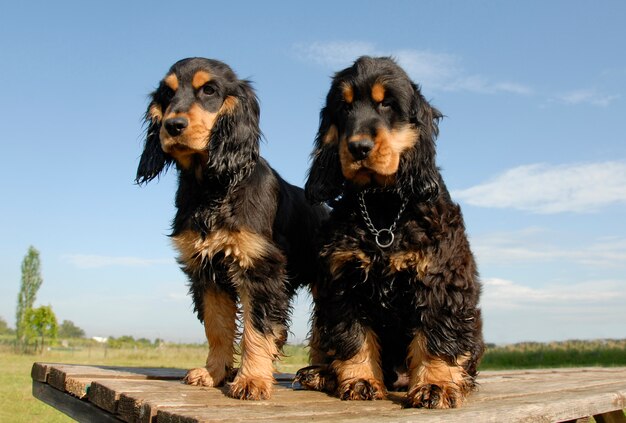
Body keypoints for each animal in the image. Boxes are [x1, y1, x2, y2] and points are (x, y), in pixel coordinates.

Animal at [134, 57, 324, 400]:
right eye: (167, 94)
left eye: (209, 90)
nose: (172, 126)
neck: (212, 187)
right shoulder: (206, 270)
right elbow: (218, 327)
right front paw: (214, 373)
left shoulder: (259, 266)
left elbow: (255, 328)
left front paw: (252, 380)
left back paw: (318, 374)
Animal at [294, 58, 486, 410]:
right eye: (344, 107)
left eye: (387, 104)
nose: (358, 147)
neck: (383, 207)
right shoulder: (343, 282)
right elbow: (352, 336)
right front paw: (360, 381)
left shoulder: (438, 279)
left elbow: (435, 336)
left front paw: (436, 386)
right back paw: (322, 374)